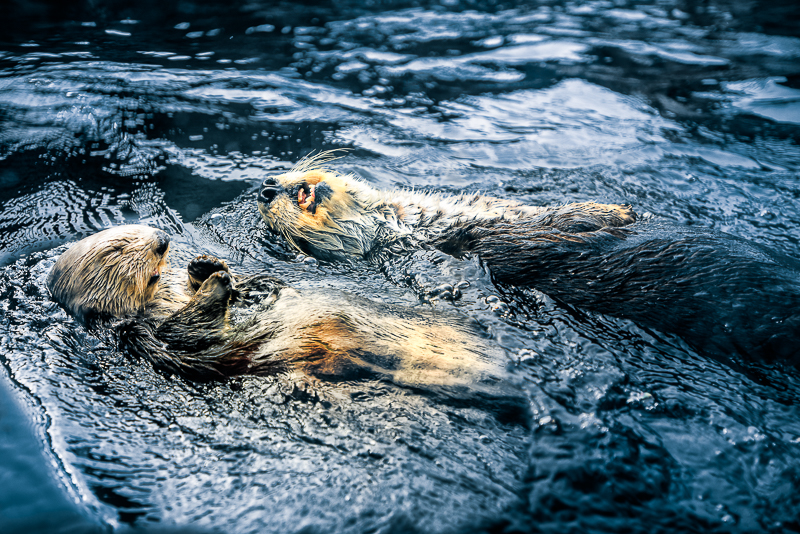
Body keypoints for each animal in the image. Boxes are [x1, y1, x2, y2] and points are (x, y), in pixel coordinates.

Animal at [46, 225, 515, 396]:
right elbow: (190, 334)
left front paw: (207, 267)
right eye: (118, 248)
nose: (162, 239)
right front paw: (216, 283)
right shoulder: (145, 337)